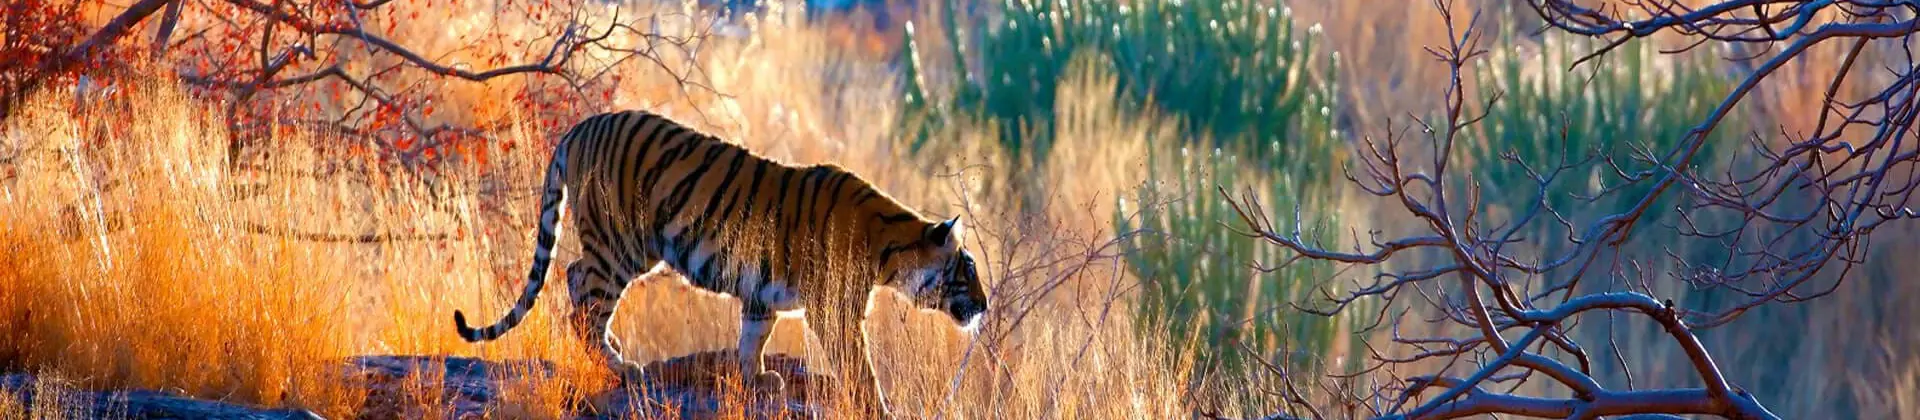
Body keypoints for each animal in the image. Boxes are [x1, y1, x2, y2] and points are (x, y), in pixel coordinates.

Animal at [452, 110, 989, 416]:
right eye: (967, 271)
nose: (985, 305)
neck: (890, 251)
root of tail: (580, 127)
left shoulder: (761, 296)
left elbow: (753, 339)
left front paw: (758, 381)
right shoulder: (836, 312)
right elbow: (859, 366)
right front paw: (876, 405)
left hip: (623, 247)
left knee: (573, 279)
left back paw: (614, 349)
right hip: (620, 244)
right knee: (582, 296)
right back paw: (621, 365)